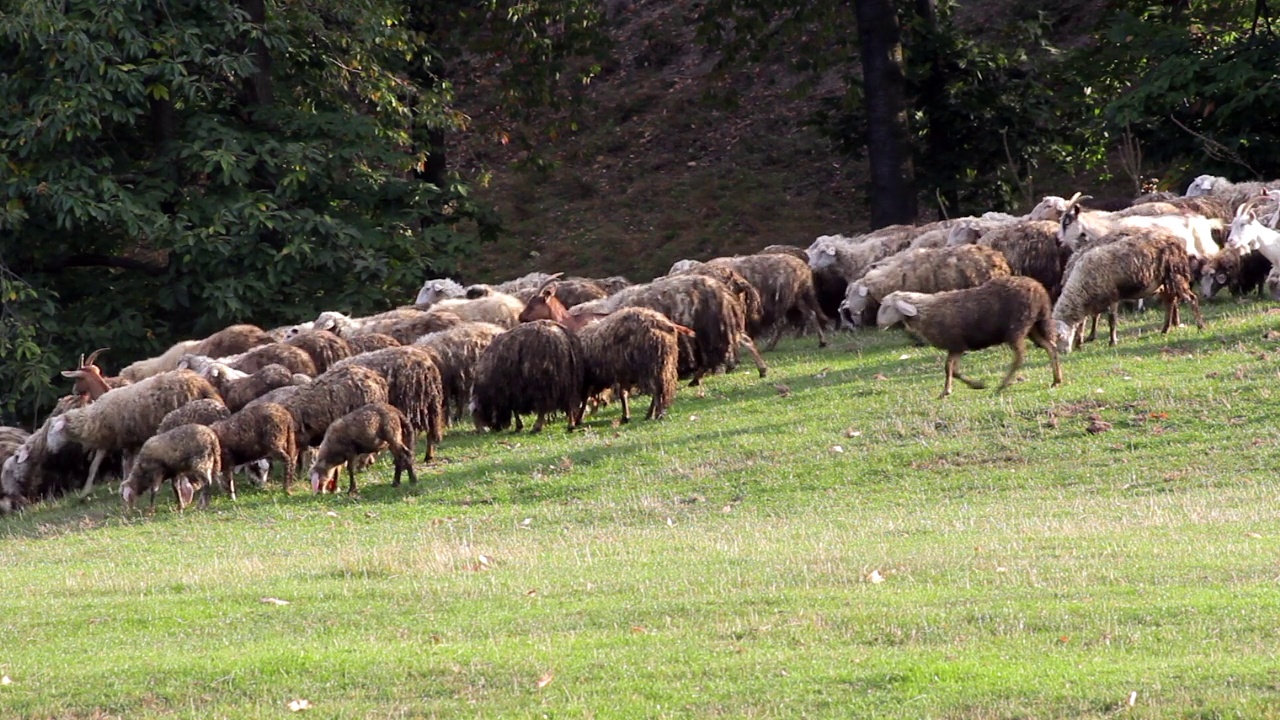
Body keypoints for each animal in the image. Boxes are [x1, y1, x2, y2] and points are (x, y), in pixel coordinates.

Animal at [875, 274, 1064, 397]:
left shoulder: (957, 345)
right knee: (1050, 348)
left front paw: (974, 385)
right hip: (1034, 326)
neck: (926, 312)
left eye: (887, 307)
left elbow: (950, 368)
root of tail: (1039, 290)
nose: (878, 324)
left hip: (1017, 327)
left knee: (1020, 357)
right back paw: (1056, 380)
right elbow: (952, 369)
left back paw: (1002, 385)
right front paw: (948, 391)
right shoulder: (957, 347)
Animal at [1049, 228, 1198, 351]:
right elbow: (1091, 318)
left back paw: (1190, 325)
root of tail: (1174, 238)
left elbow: (1110, 320)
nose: (1062, 353)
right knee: (1171, 302)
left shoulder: (1111, 296)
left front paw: (1110, 341)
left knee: (1181, 300)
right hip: (1163, 282)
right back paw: (1166, 329)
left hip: (1173, 275)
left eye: (1059, 336)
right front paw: (1084, 340)